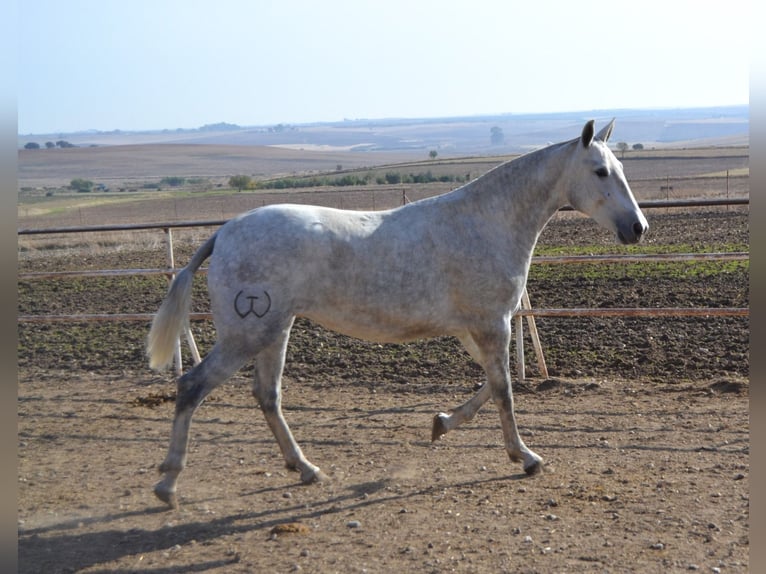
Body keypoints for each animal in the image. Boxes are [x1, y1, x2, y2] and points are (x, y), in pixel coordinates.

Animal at [146, 119, 648, 510]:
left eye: (622, 169)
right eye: (601, 171)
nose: (638, 228)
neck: (484, 223)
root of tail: (224, 234)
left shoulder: (475, 329)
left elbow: (491, 385)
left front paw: (441, 424)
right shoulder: (493, 324)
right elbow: (504, 390)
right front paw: (525, 457)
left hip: (274, 330)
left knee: (267, 396)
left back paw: (306, 468)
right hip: (247, 333)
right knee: (192, 386)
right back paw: (168, 484)